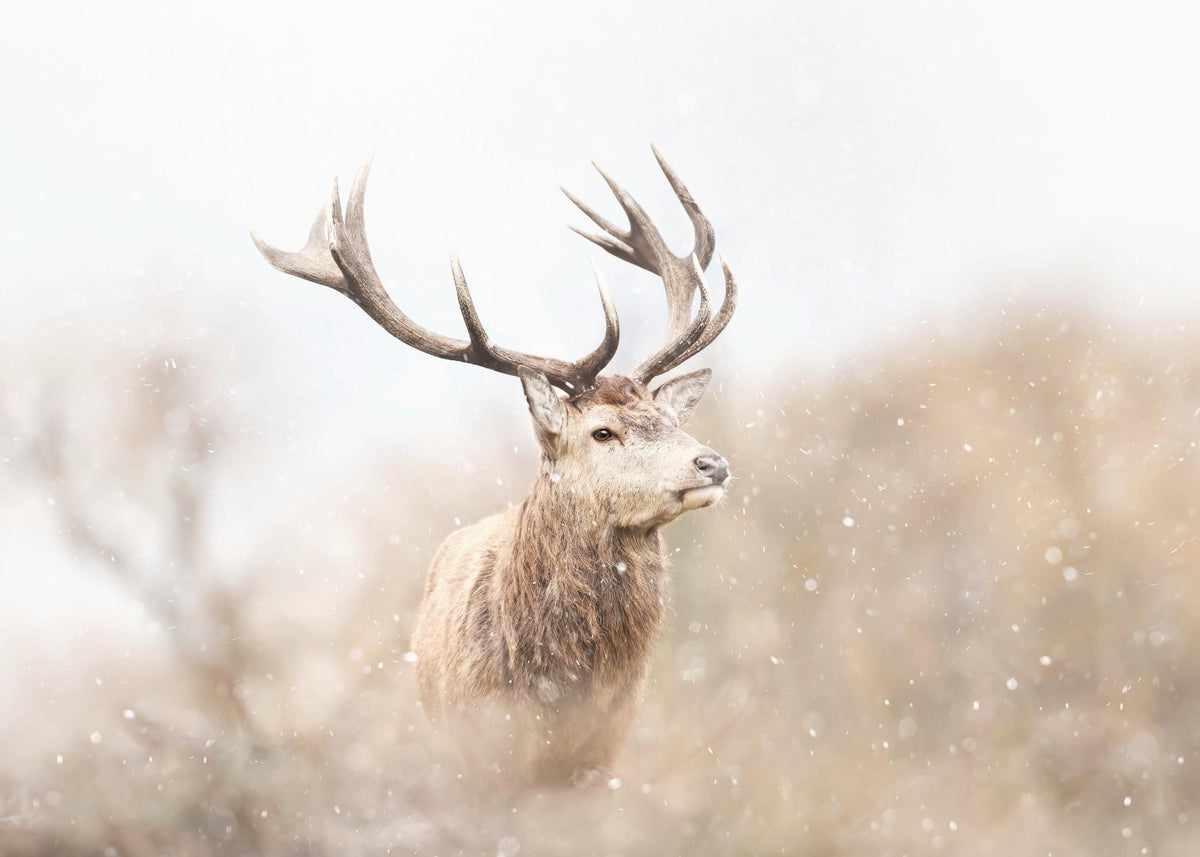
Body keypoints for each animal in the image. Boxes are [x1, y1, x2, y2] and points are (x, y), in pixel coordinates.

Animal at [252, 148, 737, 788]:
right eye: (602, 431)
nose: (712, 462)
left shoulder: (603, 753)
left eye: (665, 416)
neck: (554, 688)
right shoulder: (482, 751)